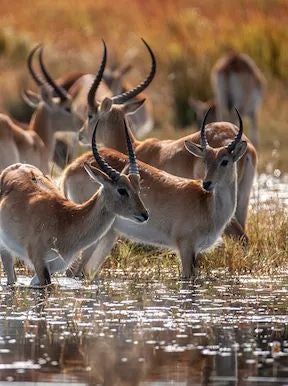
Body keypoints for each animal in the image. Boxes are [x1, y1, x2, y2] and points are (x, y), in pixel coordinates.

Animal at [0, 116, 148, 284]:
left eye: (138, 188)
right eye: (122, 190)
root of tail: (14, 167)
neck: (67, 220)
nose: (144, 214)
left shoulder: (53, 266)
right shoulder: (39, 262)